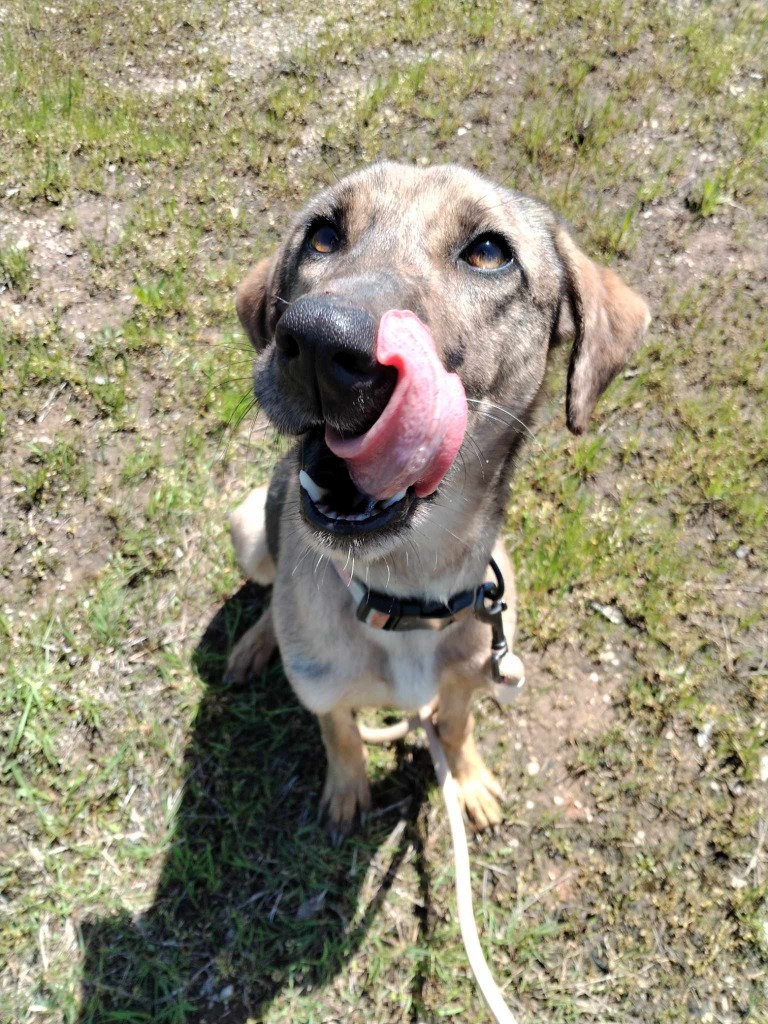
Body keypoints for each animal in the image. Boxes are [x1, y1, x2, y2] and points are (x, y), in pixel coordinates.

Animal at [225, 163, 651, 839]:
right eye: (322, 235)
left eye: (489, 252)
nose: (319, 343)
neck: (402, 592)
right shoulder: (326, 694)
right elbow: (340, 735)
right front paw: (346, 793)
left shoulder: (471, 674)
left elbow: (454, 723)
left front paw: (467, 780)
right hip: (246, 528)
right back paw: (256, 642)